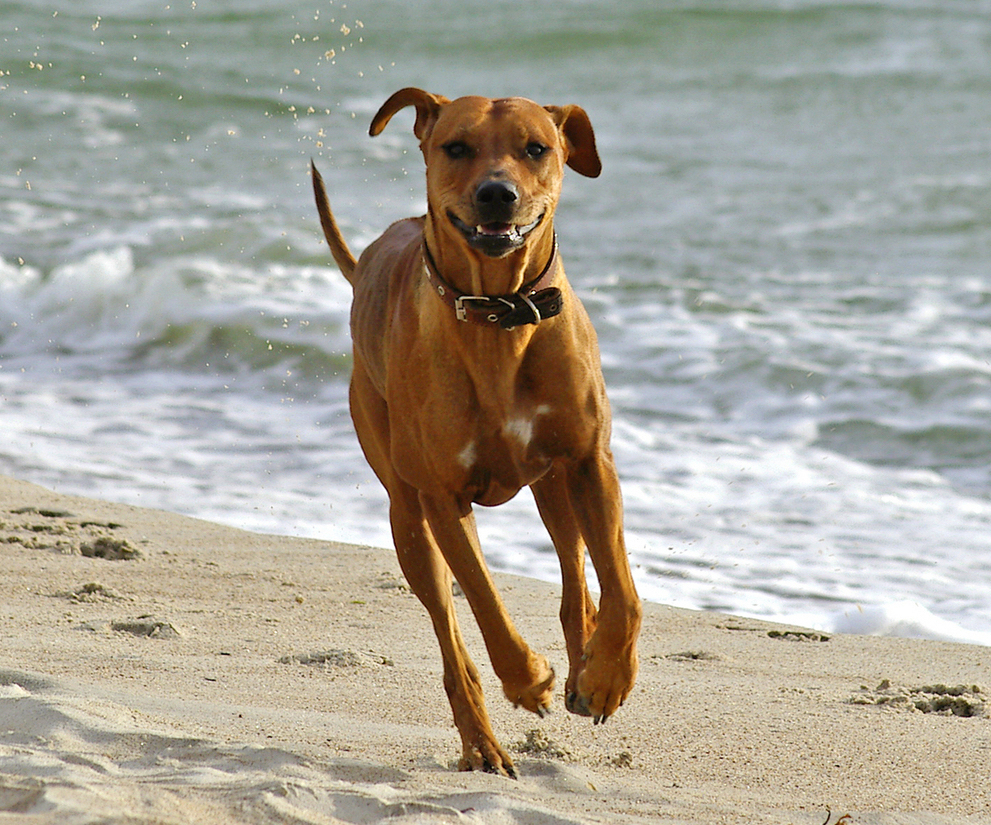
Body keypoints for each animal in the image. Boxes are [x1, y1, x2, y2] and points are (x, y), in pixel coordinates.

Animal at [314, 90, 648, 780]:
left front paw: (605, 678)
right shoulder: (442, 496)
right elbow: (487, 605)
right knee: (450, 635)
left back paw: (583, 664)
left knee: (575, 574)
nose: (498, 193)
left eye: (536, 148)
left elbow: (622, 592)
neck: (501, 318)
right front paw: (528, 680)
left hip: (554, 484)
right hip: (406, 510)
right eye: (457, 147)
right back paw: (483, 743)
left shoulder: (590, 461)